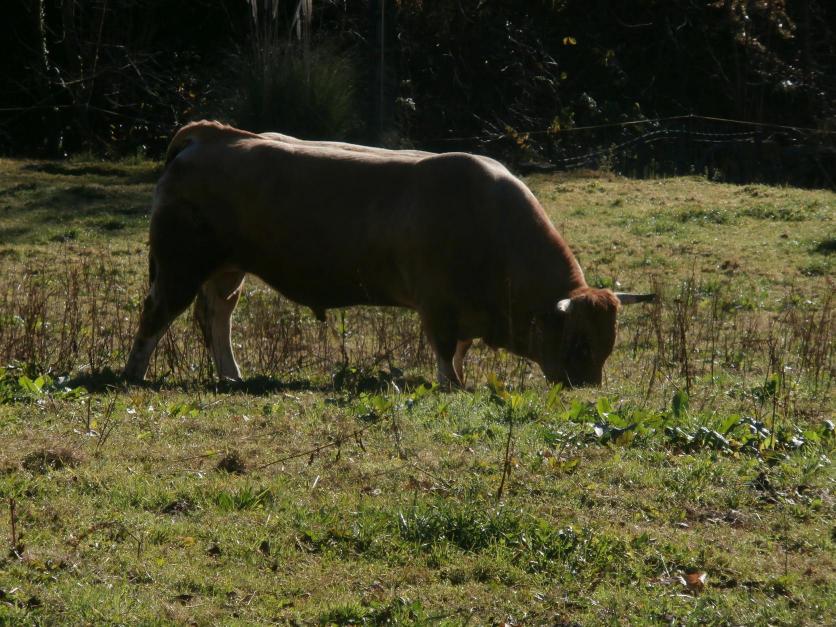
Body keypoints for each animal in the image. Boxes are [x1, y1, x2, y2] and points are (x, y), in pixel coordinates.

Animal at [123, 120, 653, 387]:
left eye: (607, 345)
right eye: (578, 343)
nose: (588, 391)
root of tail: (213, 135)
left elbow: (460, 350)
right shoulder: (437, 307)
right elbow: (445, 351)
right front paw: (451, 386)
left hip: (227, 269)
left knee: (216, 316)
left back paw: (231, 376)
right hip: (178, 265)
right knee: (156, 314)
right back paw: (134, 374)